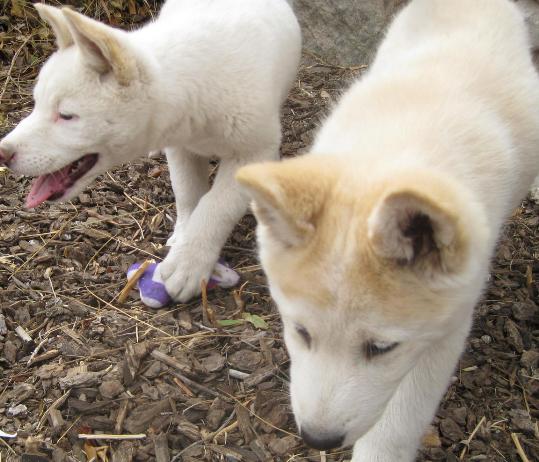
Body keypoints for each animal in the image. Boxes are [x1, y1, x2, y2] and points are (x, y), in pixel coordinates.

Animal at [0, 0, 302, 302]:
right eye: (37, 104)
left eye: (66, 116)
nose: (3, 152)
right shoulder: (181, 147)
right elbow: (188, 193)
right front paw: (184, 240)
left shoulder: (253, 153)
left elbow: (216, 206)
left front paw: (189, 262)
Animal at [238, 0, 539, 462]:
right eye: (301, 332)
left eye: (381, 349)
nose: (317, 439)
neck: (396, 149)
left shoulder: (446, 331)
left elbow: (399, 423)